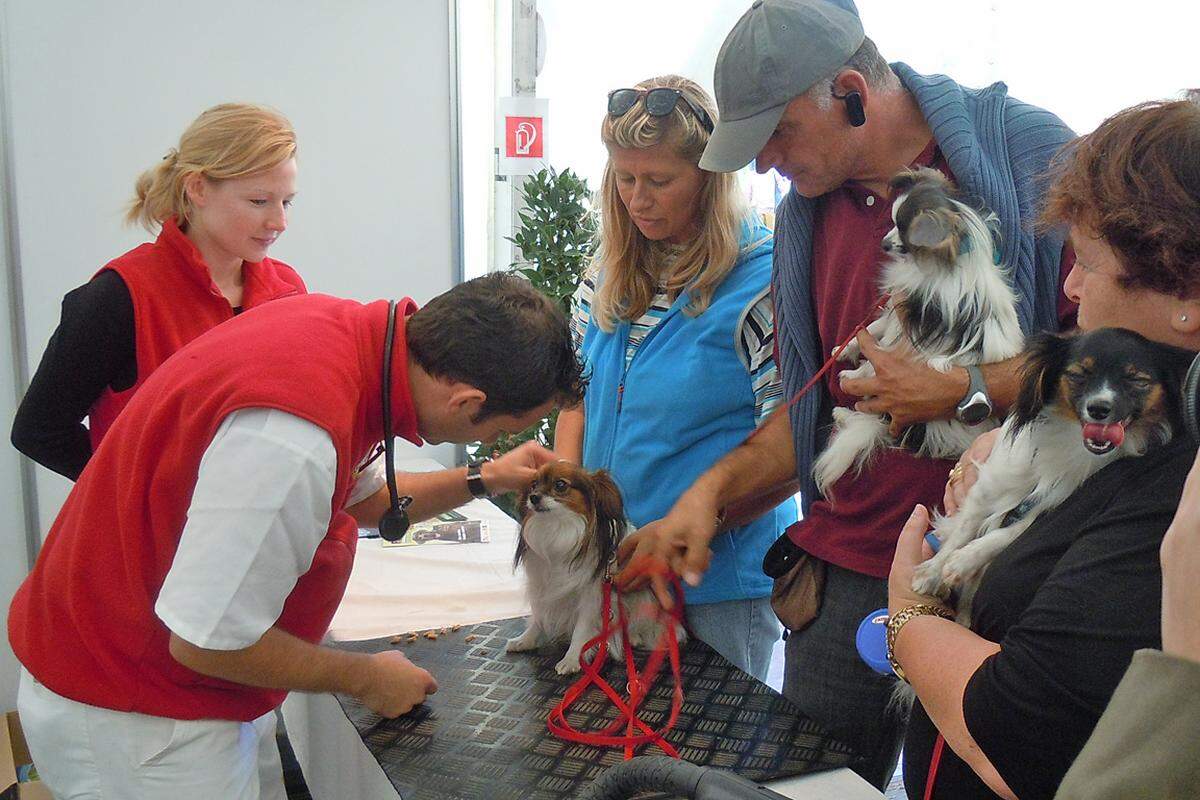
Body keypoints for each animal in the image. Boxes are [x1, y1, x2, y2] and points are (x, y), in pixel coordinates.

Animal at [501, 462, 686, 676]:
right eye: (533, 485)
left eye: (560, 485)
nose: (534, 497)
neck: (558, 530)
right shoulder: (541, 587)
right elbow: (538, 618)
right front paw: (525, 640)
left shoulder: (591, 597)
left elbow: (581, 630)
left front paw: (572, 659)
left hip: (643, 599)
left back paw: (633, 636)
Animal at [811, 166, 1027, 496]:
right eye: (892, 222)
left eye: (903, 231)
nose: (884, 244)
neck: (943, 259)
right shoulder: (896, 310)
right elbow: (872, 327)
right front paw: (844, 349)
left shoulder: (908, 325)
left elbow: (877, 356)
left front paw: (852, 373)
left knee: (879, 419)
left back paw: (845, 412)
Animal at [907, 328, 1190, 623]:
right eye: (1078, 375)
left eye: (1137, 380)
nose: (1099, 408)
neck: (1072, 440)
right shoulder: (991, 485)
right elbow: (963, 530)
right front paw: (931, 573)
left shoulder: (1047, 503)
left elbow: (1006, 535)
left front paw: (964, 560)